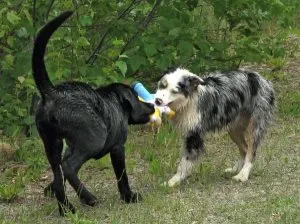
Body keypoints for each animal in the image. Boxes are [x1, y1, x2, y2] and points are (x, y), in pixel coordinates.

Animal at [32, 11, 155, 216]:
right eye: (137, 98)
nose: (152, 106)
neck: (114, 102)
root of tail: (53, 93)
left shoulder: (70, 147)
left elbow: (58, 181)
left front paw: (49, 190)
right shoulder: (118, 147)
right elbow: (122, 176)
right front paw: (129, 197)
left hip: (52, 144)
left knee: (58, 173)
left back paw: (66, 209)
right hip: (93, 139)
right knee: (69, 168)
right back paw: (88, 198)